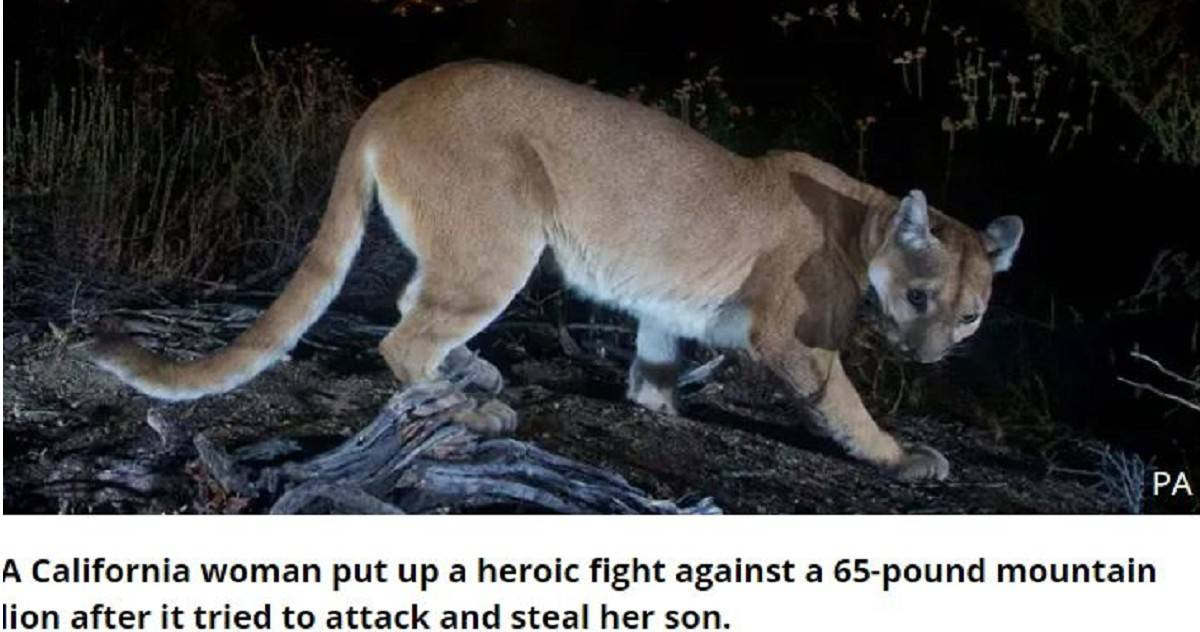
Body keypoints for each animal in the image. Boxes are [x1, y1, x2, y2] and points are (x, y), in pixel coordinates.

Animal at [88, 60, 1023, 481]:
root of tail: (391, 96)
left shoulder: (667, 304)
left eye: (970, 314)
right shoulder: (791, 337)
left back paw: (474, 372)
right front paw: (901, 456)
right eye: (920, 296)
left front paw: (657, 406)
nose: (931, 356)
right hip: (504, 240)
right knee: (404, 334)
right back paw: (476, 403)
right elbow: (843, 402)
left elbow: (655, 358)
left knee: (413, 306)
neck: (864, 219)